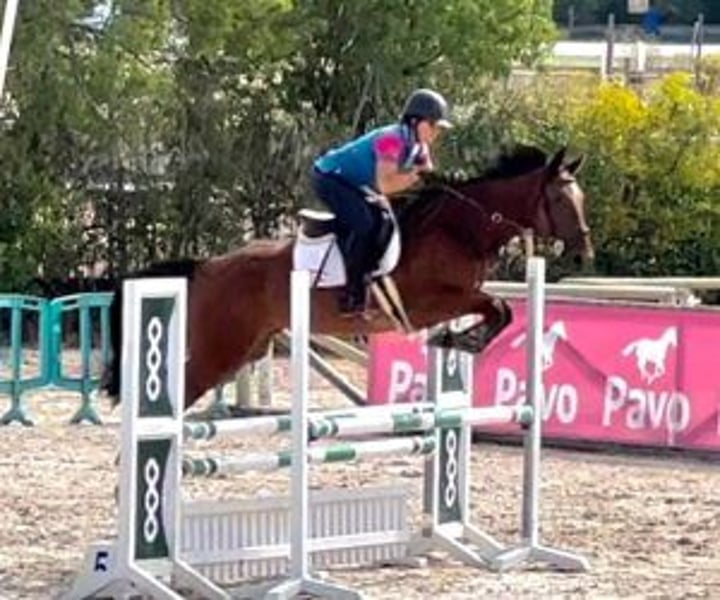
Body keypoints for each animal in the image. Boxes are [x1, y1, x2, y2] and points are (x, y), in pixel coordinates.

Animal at [102, 145, 594, 410]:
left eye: (581, 198)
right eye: (559, 199)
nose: (585, 251)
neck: (460, 228)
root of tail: (207, 266)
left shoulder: (454, 297)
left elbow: (501, 310)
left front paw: (459, 341)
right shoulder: (430, 302)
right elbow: (498, 306)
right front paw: (460, 340)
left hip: (248, 346)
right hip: (220, 349)